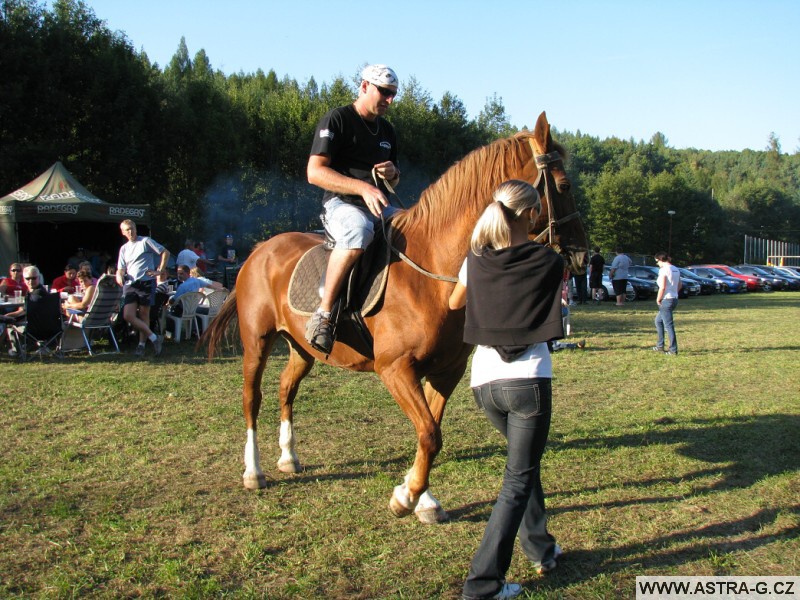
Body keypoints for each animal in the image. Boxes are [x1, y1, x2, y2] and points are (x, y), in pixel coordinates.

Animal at [203, 110, 584, 524]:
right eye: (563, 185)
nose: (582, 254)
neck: (432, 272)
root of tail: (260, 250)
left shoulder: (445, 370)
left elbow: (430, 431)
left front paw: (423, 499)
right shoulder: (395, 368)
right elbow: (430, 433)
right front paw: (407, 498)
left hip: (302, 349)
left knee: (286, 389)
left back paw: (288, 458)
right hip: (256, 342)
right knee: (251, 398)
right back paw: (253, 471)